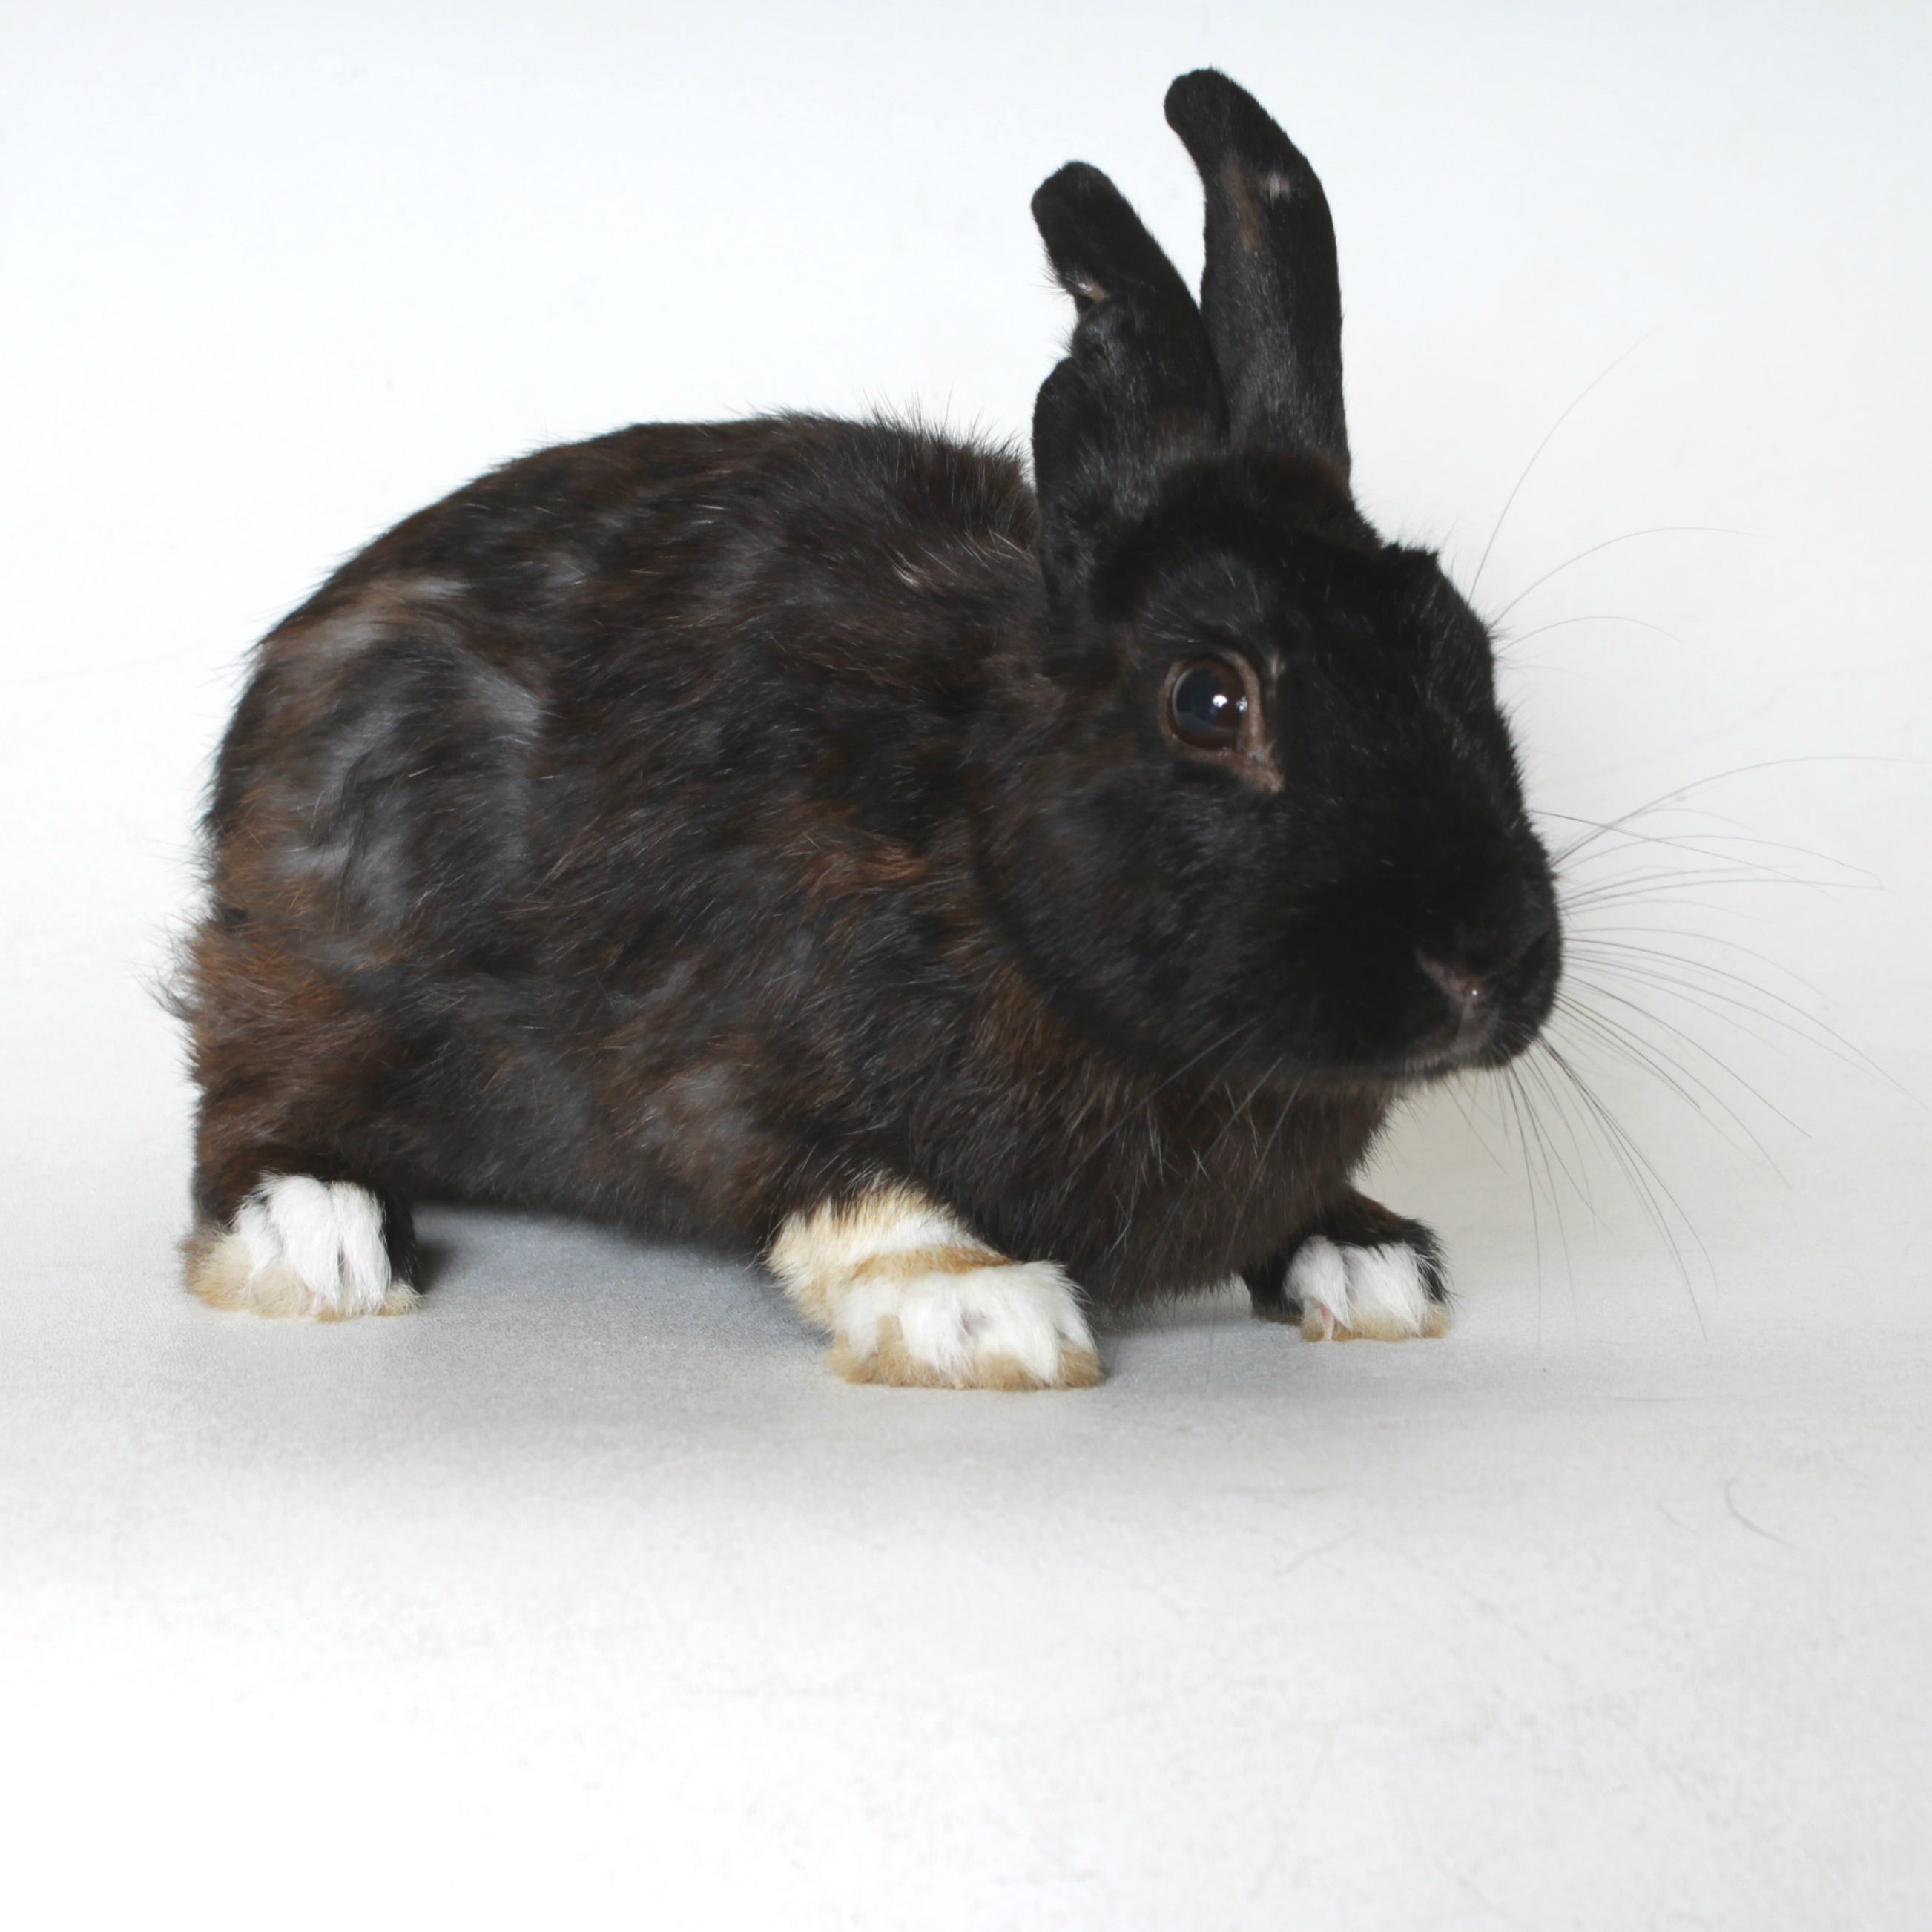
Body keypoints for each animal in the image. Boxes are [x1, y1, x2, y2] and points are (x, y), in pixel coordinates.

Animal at [177, 69, 1561, 1389]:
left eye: (1467, 651)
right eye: (1207, 701)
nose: (1475, 966)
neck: (978, 839)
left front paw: (1362, 1257)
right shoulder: (723, 1063)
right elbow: (847, 1192)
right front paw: (980, 1314)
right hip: (324, 957)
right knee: (246, 1098)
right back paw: (321, 1237)